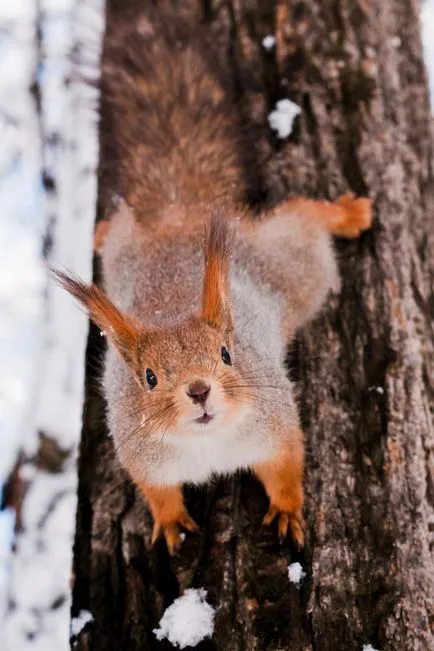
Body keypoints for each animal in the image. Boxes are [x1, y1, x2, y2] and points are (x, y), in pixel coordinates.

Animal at [55, 8, 372, 556]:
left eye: (227, 354)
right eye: (149, 378)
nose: (199, 390)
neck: (207, 444)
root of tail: (181, 215)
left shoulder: (275, 422)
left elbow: (287, 467)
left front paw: (287, 511)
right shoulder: (143, 457)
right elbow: (157, 493)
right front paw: (170, 523)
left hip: (295, 268)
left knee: (305, 218)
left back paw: (349, 214)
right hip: (128, 250)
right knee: (120, 225)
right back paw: (100, 229)